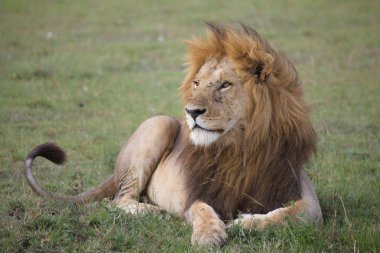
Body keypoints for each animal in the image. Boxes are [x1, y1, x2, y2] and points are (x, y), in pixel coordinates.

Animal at [25, 23, 322, 245]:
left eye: (225, 85)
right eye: (197, 83)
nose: (191, 112)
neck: (240, 146)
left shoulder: (300, 192)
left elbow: (293, 213)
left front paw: (246, 223)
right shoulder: (196, 192)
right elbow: (201, 208)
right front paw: (208, 234)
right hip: (159, 125)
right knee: (118, 200)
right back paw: (153, 211)